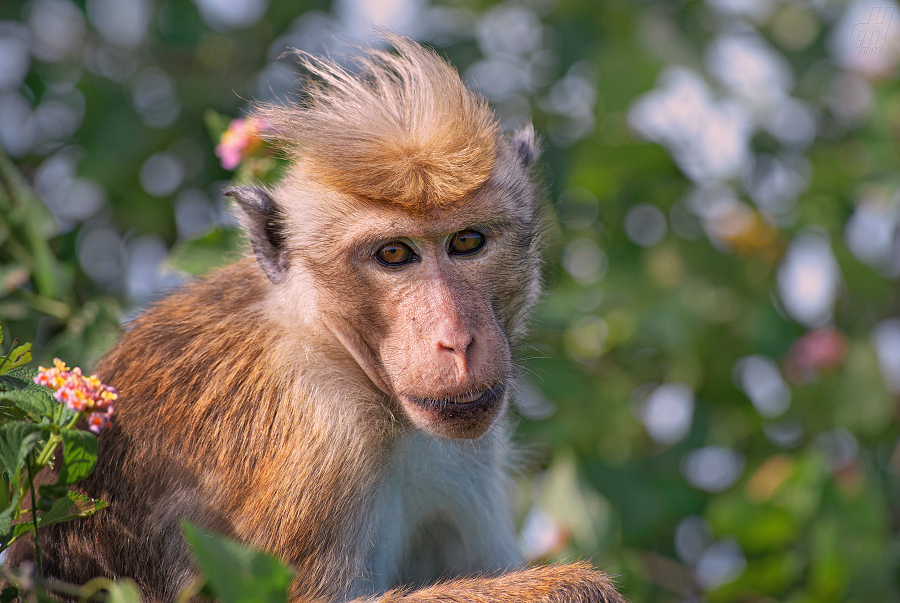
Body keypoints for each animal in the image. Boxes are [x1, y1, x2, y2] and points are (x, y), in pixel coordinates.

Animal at [8, 36, 624, 603]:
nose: (457, 340)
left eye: (467, 241)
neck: (335, 348)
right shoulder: (324, 444)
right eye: (394, 254)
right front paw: (575, 586)